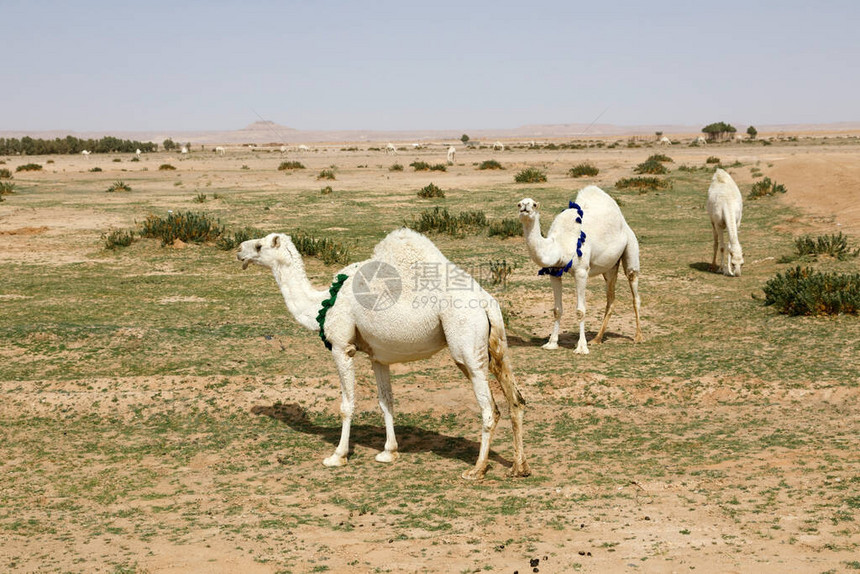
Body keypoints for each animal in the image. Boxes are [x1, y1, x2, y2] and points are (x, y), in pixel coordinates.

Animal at [237, 230, 532, 482]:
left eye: (260, 246)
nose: (239, 250)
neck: (322, 304)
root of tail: (485, 302)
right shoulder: (377, 357)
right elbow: (385, 402)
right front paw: (389, 452)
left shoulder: (341, 346)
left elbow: (346, 405)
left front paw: (337, 456)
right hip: (496, 346)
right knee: (516, 399)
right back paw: (519, 467)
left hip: (466, 347)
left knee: (489, 409)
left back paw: (477, 470)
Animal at [512, 187, 640, 354]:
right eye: (519, 203)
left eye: (534, 204)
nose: (525, 207)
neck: (559, 245)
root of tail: (623, 222)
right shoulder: (554, 272)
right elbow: (557, 309)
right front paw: (551, 343)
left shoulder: (581, 271)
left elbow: (580, 310)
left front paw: (581, 347)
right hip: (610, 267)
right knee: (611, 298)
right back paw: (597, 339)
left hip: (631, 246)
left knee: (634, 289)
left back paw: (638, 337)